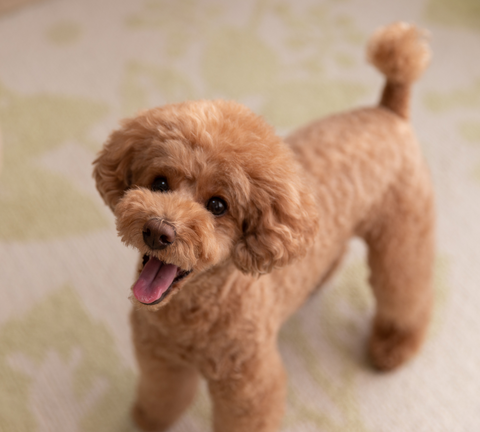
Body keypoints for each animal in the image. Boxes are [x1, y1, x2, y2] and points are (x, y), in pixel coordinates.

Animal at [93, 22, 436, 430]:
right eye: (160, 183)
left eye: (218, 206)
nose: (159, 230)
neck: (190, 315)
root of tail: (389, 108)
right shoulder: (160, 359)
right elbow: (162, 396)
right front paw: (147, 419)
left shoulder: (249, 387)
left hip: (402, 232)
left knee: (407, 289)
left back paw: (394, 345)